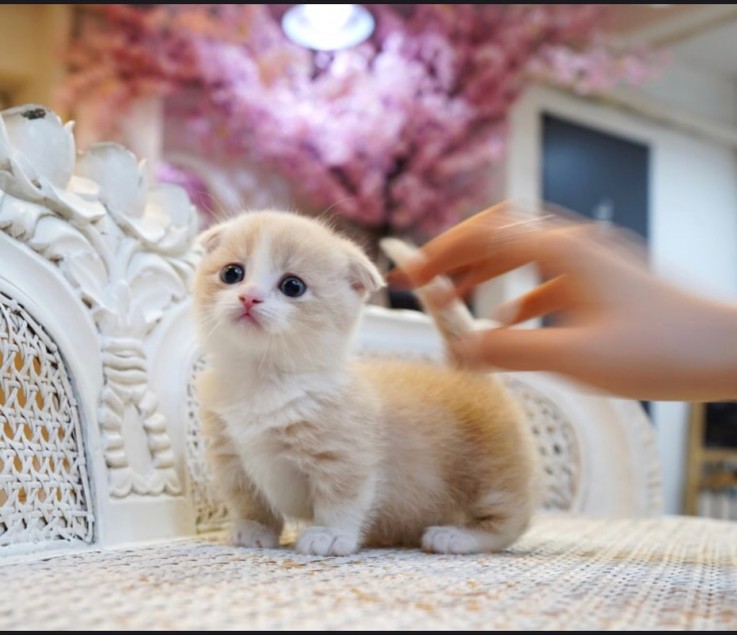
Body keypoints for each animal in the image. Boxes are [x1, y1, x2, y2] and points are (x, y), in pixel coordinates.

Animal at [193, 210, 544, 556]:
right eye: (232, 273)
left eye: (292, 286)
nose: (249, 297)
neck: (262, 380)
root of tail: (467, 373)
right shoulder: (231, 457)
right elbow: (248, 499)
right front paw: (254, 528)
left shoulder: (343, 455)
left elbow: (342, 499)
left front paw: (330, 534)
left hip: (494, 475)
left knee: (510, 521)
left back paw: (457, 536)